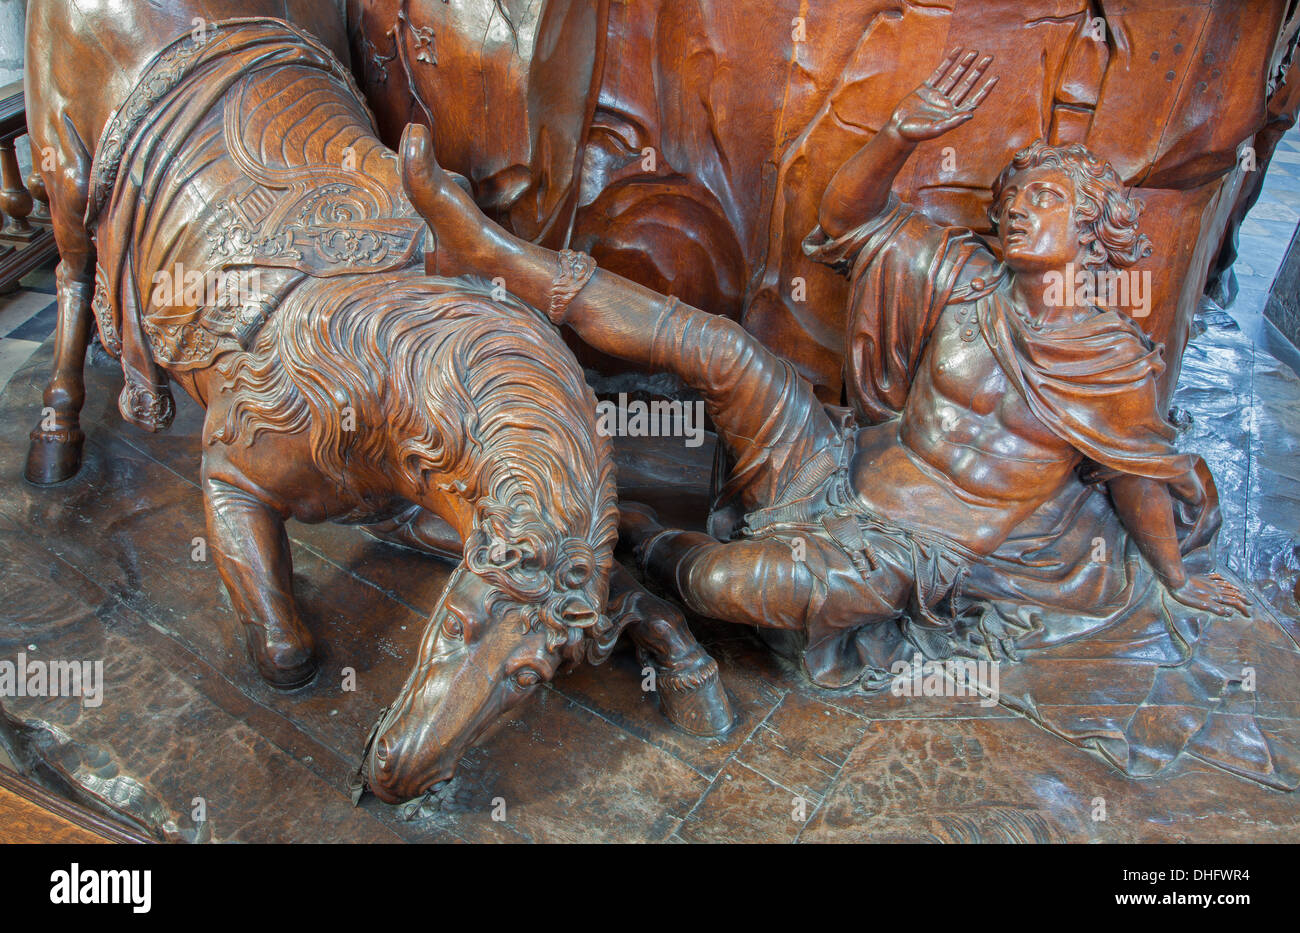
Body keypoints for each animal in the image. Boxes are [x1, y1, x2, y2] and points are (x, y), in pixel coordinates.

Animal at [22, 1, 733, 805]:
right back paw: (55, 437)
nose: (395, 775)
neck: (385, 372)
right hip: (65, 169)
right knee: (72, 275)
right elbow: (285, 648)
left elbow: (632, 591)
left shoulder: (412, 509)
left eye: (526, 680)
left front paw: (683, 662)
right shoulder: (234, 473)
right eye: (452, 626)